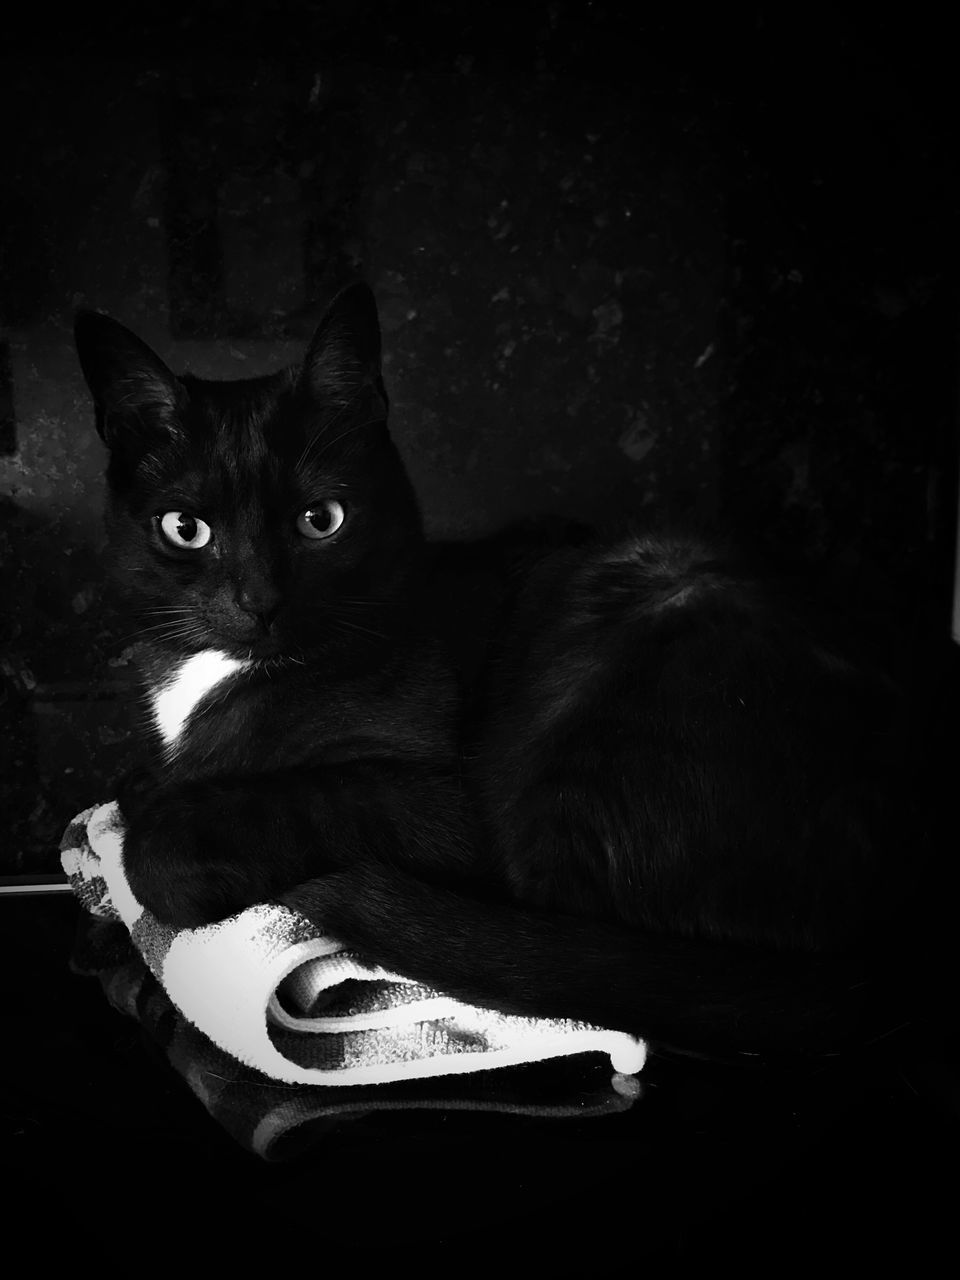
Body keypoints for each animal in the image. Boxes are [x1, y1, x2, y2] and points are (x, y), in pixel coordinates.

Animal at [71, 288, 926, 1059]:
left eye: (322, 521)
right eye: (185, 529)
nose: (260, 602)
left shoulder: (440, 806)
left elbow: (275, 803)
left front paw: (161, 849)